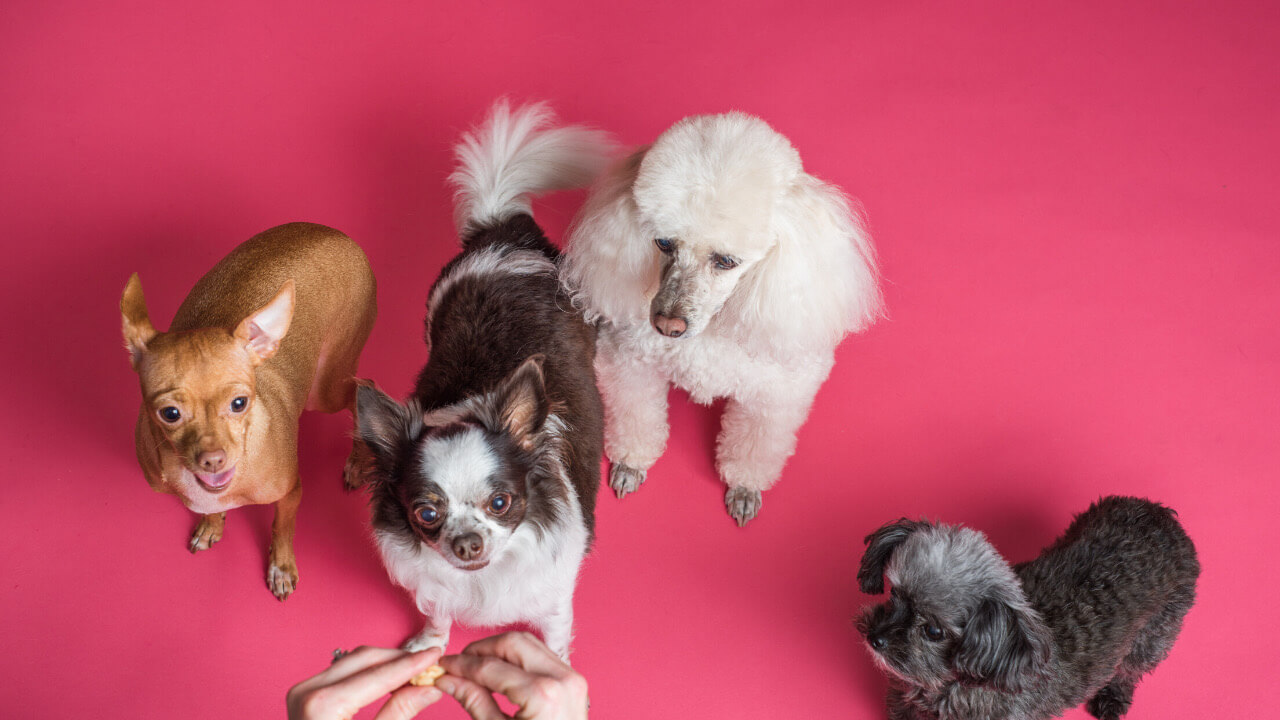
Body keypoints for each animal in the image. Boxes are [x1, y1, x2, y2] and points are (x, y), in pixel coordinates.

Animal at [860, 497, 1198, 717]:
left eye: (933, 631)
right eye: (894, 594)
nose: (875, 639)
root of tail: (1160, 516)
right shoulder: (903, 705)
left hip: (1155, 635)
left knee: (1129, 669)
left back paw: (1113, 696)